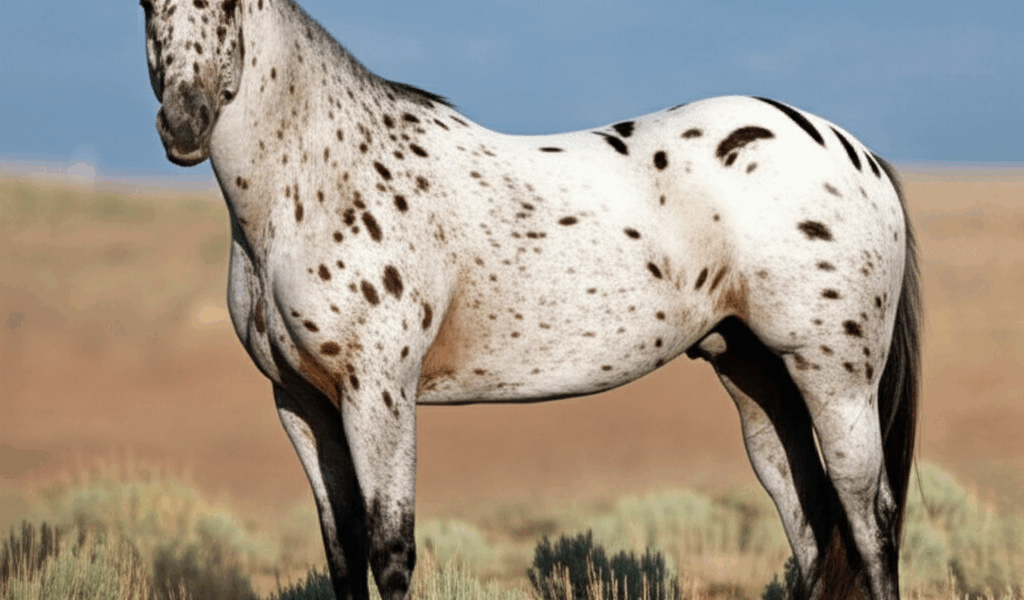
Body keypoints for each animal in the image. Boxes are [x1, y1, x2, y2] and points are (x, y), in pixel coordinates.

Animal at [139, 1, 919, 599]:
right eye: (148, 4)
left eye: (230, 4)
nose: (184, 122)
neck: (317, 182)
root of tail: (857, 154)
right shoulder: (301, 402)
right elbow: (342, 556)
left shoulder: (378, 392)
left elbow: (390, 553)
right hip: (757, 383)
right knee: (814, 528)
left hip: (835, 379)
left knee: (870, 523)